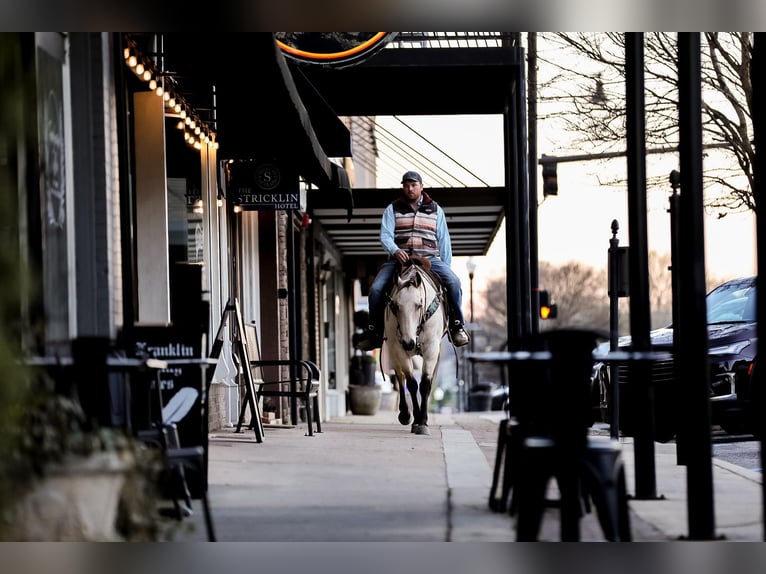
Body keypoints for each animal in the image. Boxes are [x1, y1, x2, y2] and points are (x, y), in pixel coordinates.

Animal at [384, 258, 450, 436]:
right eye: (395, 306)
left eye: (419, 305)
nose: (408, 343)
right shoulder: (399, 349)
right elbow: (411, 384)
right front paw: (415, 420)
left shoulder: (432, 349)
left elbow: (425, 384)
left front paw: (423, 422)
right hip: (393, 349)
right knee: (400, 377)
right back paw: (405, 414)